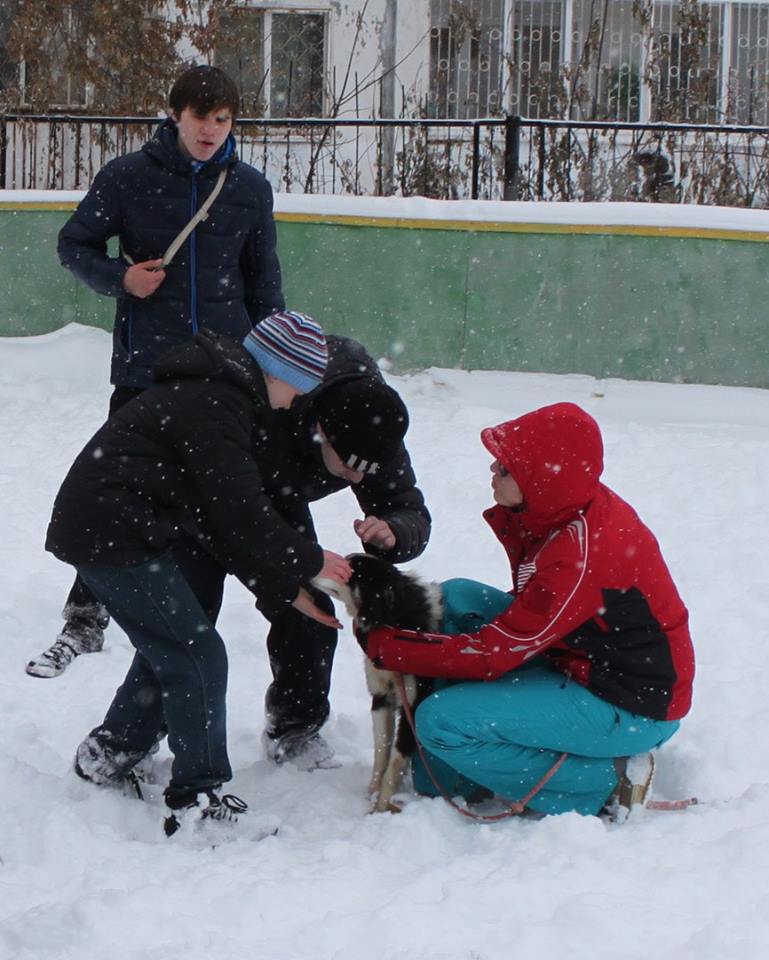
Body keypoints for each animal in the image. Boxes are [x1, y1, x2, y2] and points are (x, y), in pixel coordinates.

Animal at [312, 556, 440, 808]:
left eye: (348, 570)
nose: (315, 565)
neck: (394, 620)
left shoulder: (413, 706)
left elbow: (396, 759)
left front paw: (381, 806)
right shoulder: (381, 698)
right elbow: (381, 751)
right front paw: (372, 791)